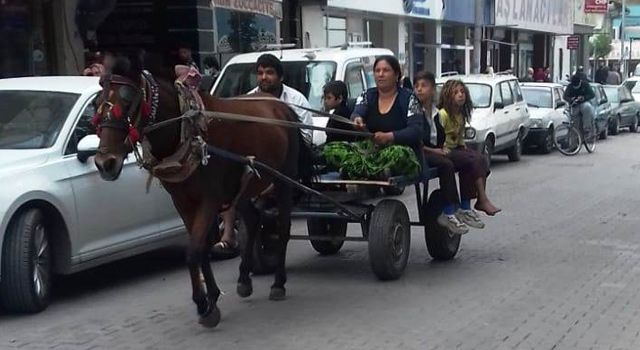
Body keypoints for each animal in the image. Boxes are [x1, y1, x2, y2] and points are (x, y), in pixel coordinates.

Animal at [92, 52, 316, 328]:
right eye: (97, 103)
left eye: (126, 100)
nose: (105, 163)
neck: (187, 132)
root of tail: (281, 106)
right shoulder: (183, 202)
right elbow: (201, 250)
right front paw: (212, 300)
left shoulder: (210, 199)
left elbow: (193, 252)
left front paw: (202, 304)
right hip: (243, 186)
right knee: (253, 220)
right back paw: (244, 279)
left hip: (284, 179)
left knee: (283, 228)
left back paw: (278, 283)